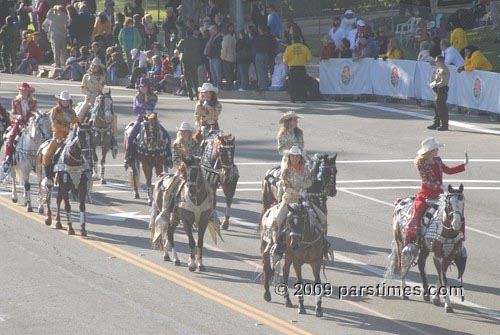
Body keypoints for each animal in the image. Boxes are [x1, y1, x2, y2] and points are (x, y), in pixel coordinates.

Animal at [384, 185, 466, 314]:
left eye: (463, 202)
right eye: (449, 203)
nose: (456, 223)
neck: (446, 231)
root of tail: (400, 202)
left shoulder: (449, 255)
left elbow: (441, 275)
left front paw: (436, 298)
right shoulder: (437, 254)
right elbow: (442, 277)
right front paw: (447, 304)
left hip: (424, 248)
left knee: (421, 264)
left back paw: (426, 293)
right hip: (400, 242)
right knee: (402, 264)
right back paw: (404, 292)